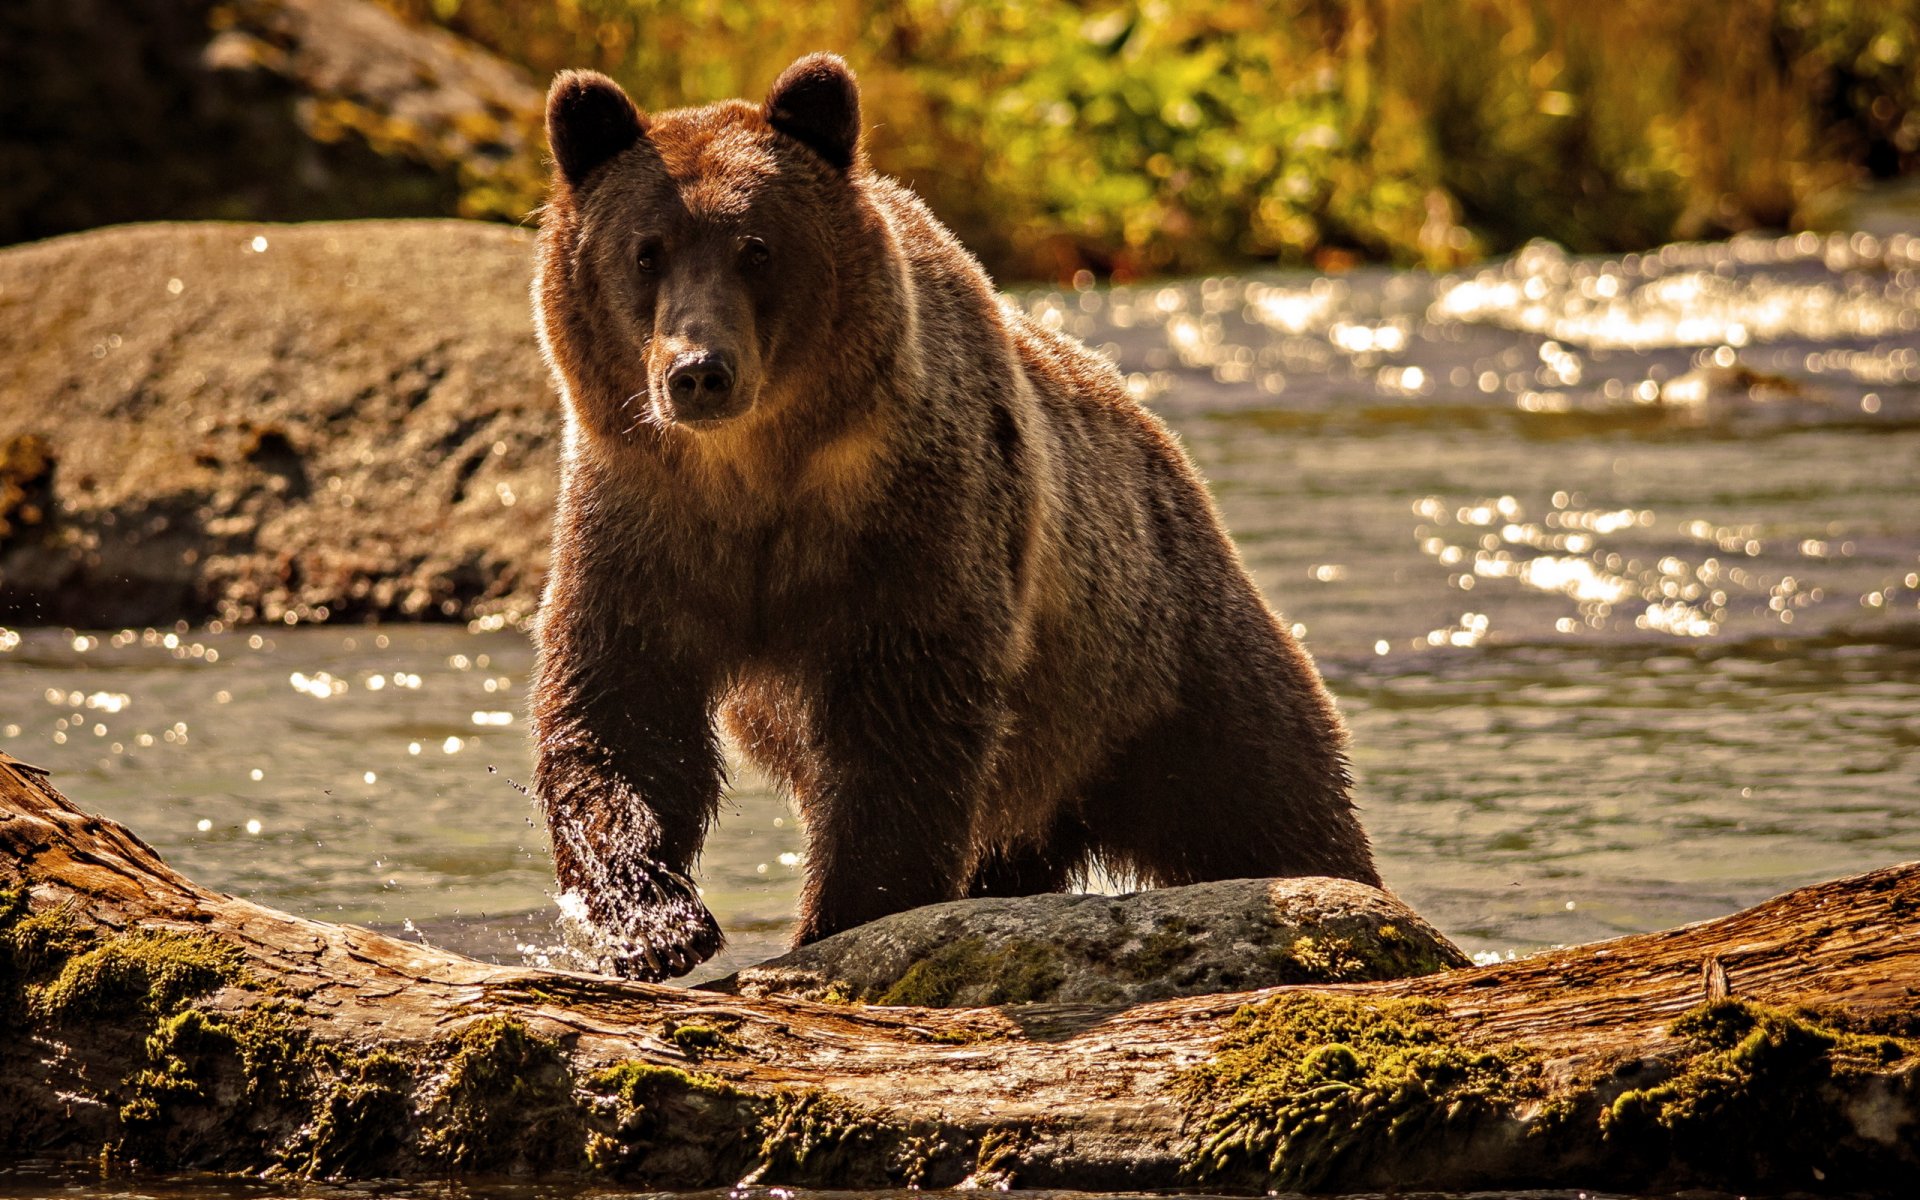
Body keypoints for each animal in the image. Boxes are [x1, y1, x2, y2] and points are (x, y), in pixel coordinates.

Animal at [526, 51, 1382, 979]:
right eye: (645, 251)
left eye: (756, 247)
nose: (698, 371)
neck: (755, 472)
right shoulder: (644, 520)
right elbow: (622, 709)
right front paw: (651, 921)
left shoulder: (913, 521)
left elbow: (902, 727)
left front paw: (841, 916)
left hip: (1160, 662)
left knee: (1267, 797)